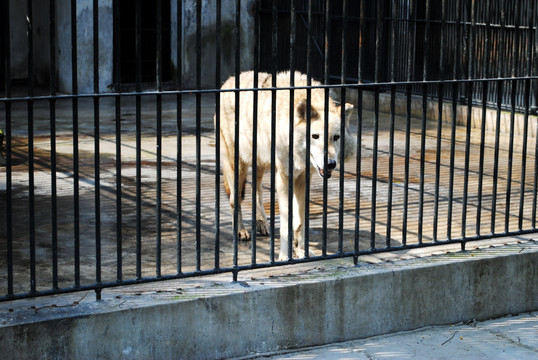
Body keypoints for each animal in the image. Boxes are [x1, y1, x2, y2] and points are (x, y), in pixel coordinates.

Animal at [216, 71, 354, 262]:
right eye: (315, 136)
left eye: (336, 137)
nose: (330, 164)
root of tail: (227, 81)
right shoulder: (284, 178)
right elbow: (286, 223)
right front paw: (284, 255)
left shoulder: (303, 179)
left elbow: (300, 220)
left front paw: (302, 250)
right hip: (238, 166)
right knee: (233, 199)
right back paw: (241, 231)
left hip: (260, 164)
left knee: (256, 191)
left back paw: (262, 223)